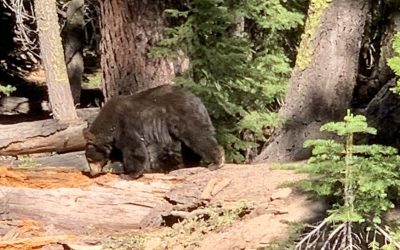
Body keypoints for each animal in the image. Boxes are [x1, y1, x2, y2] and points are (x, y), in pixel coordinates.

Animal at [82, 85, 223, 179]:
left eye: (89, 159)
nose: (92, 173)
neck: (109, 127)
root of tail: (198, 100)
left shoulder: (124, 126)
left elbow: (133, 148)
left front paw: (130, 174)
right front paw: (120, 168)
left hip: (185, 118)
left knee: (198, 136)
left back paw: (216, 162)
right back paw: (190, 164)